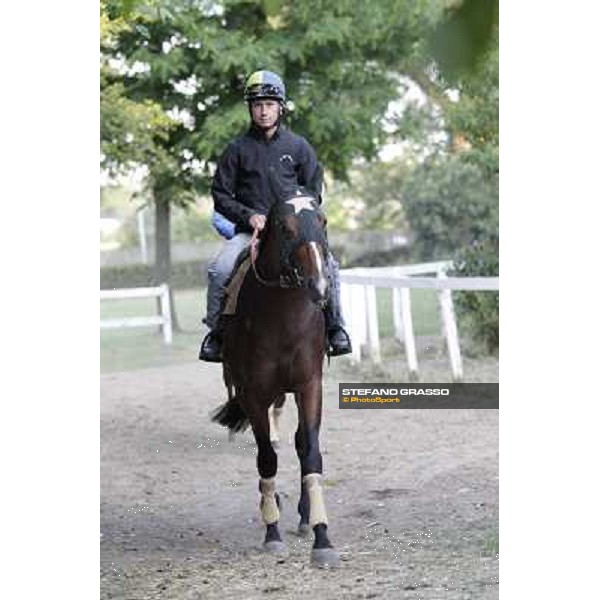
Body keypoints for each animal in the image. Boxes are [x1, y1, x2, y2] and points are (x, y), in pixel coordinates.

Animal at [213, 188, 340, 568]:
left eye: (323, 221)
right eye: (285, 228)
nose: (320, 285)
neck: (284, 318)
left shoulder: (310, 385)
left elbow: (310, 451)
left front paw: (322, 536)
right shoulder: (254, 393)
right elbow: (266, 457)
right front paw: (272, 532)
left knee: (298, 442)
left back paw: (302, 514)